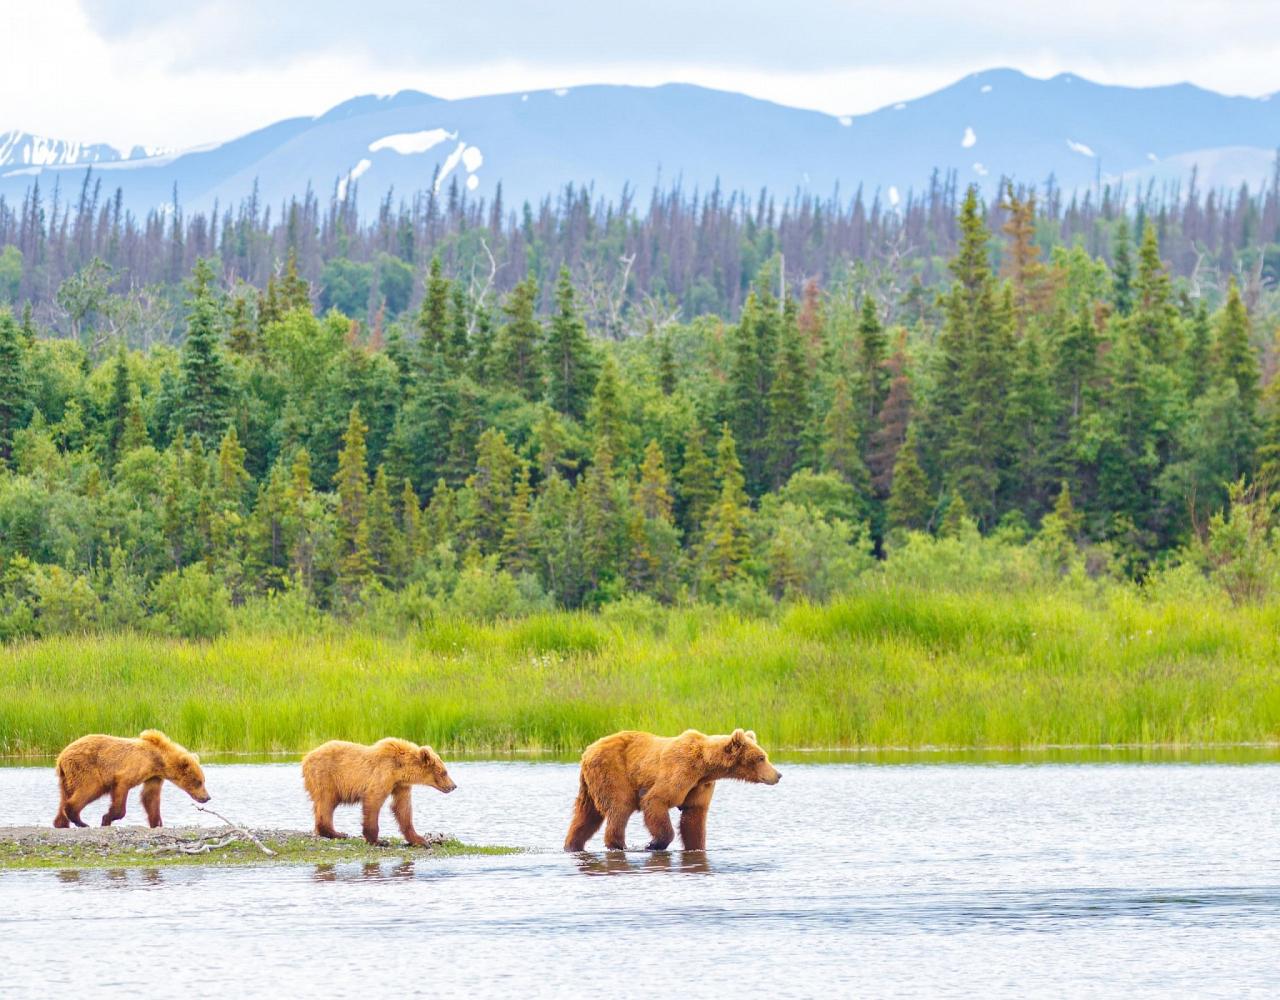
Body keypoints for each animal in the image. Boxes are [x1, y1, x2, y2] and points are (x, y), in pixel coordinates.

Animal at [53, 727, 212, 824]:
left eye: (203, 780)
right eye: (199, 781)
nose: (207, 797)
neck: (158, 760)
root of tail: (61, 756)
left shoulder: (153, 777)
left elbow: (150, 797)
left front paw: (157, 823)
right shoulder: (132, 769)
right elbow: (122, 789)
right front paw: (107, 818)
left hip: (66, 777)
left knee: (64, 796)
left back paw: (61, 823)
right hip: (86, 768)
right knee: (90, 788)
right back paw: (79, 820)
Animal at [302, 737, 458, 845]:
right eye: (444, 772)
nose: (454, 786)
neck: (400, 769)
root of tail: (306, 758)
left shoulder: (400, 785)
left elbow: (402, 808)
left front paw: (420, 840)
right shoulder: (383, 774)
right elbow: (373, 800)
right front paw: (378, 840)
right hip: (326, 777)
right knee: (326, 802)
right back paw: (337, 833)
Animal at [563, 727, 778, 850]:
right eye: (761, 758)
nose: (778, 775)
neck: (705, 766)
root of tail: (587, 751)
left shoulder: (699, 785)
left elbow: (693, 817)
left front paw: (696, 846)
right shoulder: (680, 770)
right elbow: (656, 800)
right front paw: (654, 844)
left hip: (590, 784)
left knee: (586, 815)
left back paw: (572, 845)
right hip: (613, 772)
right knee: (619, 807)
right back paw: (618, 845)